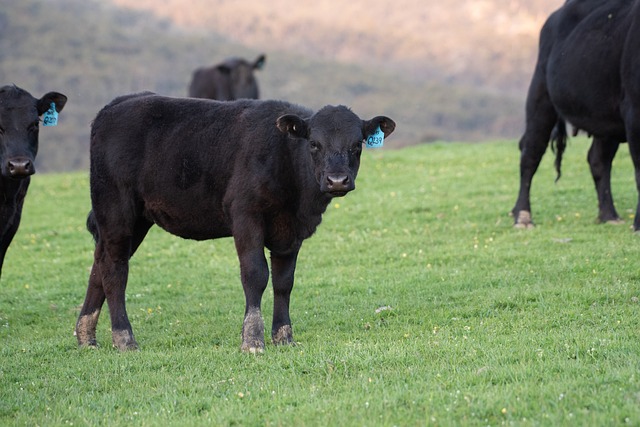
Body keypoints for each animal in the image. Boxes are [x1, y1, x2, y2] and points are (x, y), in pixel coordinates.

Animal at [76, 93, 396, 354]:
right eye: (314, 144)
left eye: (357, 145)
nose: (337, 180)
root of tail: (116, 104)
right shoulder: (245, 215)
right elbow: (256, 274)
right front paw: (252, 340)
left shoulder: (291, 231)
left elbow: (284, 281)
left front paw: (284, 336)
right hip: (116, 209)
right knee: (115, 269)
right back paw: (124, 338)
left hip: (136, 219)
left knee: (99, 265)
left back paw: (86, 336)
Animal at [512, 0, 640, 231]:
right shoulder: (634, 111)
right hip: (540, 96)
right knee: (530, 154)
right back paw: (523, 217)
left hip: (605, 118)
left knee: (598, 159)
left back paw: (608, 215)